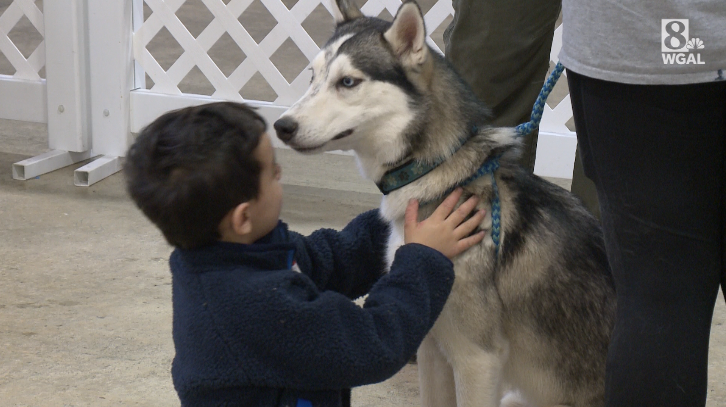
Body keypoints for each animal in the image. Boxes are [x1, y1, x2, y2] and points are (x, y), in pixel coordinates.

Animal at [276, 1, 616, 406]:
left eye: (348, 82)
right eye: (313, 76)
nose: (281, 126)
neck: (438, 174)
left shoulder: (477, 358)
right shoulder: (432, 345)